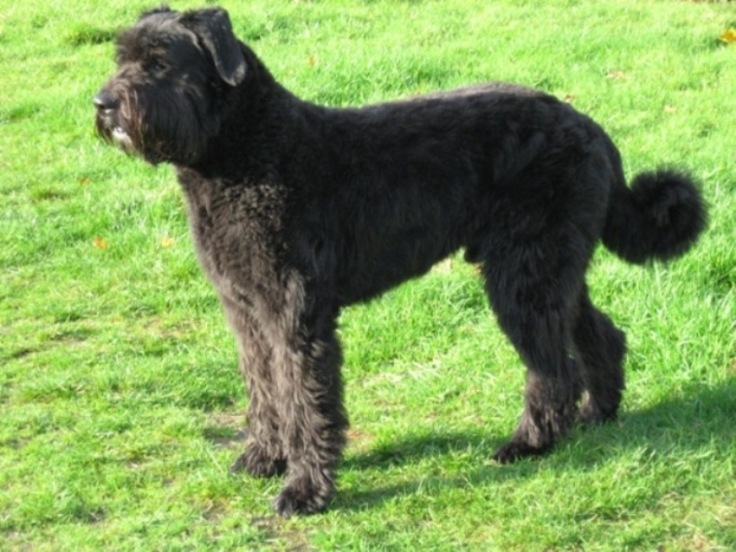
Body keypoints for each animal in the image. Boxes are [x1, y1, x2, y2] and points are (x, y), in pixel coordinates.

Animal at [93, 5, 708, 516]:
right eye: (122, 56)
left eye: (160, 62)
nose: (102, 105)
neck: (246, 154)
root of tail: (592, 131)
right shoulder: (247, 311)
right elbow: (264, 390)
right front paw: (264, 458)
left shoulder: (296, 317)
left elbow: (305, 400)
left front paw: (305, 490)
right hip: (552, 270)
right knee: (600, 336)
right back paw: (598, 414)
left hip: (522, 279)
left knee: (553, 369)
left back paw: (528, 443)